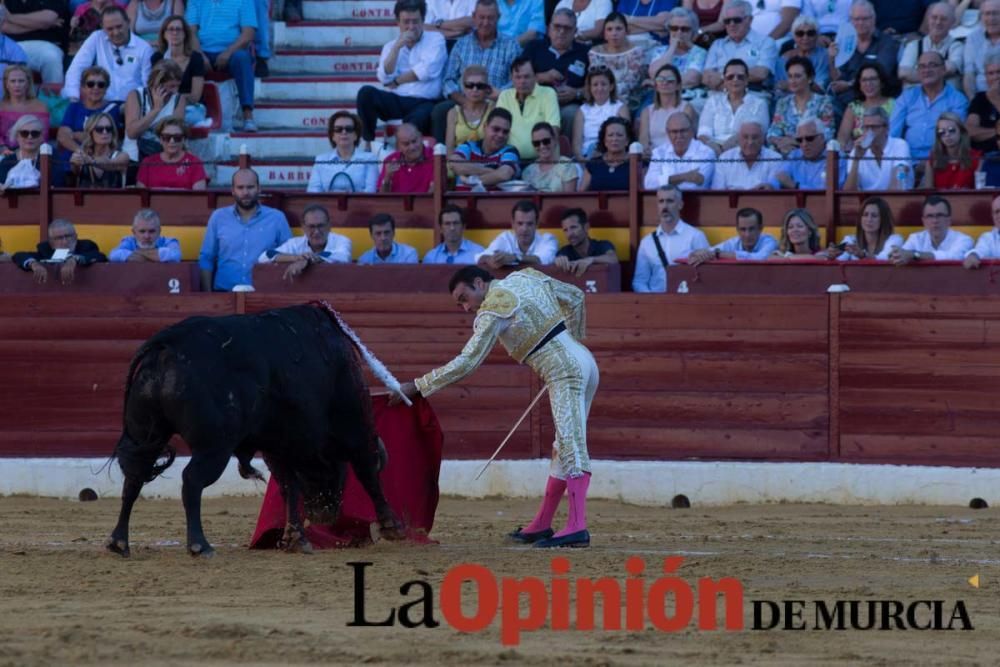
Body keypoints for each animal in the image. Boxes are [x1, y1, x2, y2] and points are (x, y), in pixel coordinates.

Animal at [108, 304, 402, 560]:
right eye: (340, 472)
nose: (324, 515)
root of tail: (167, 345)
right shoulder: (355, 427)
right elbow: (368, 473)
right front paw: (392, 526)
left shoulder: (277, 447)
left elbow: (288, 486)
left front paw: (296, 539)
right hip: (214, 446)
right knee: (191, 480)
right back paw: (200, 546)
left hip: (145, 432)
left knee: (134, 479)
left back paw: (119, 542)